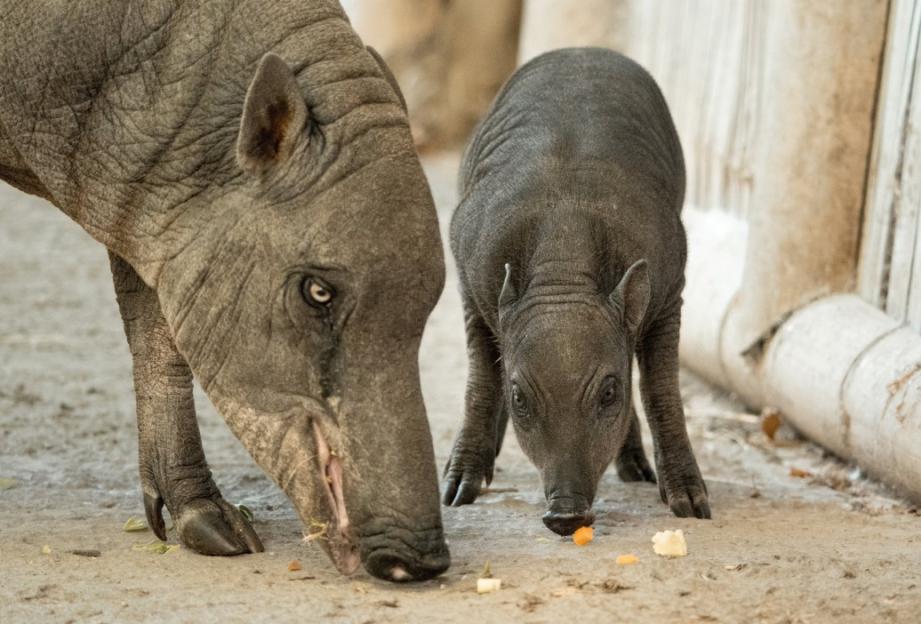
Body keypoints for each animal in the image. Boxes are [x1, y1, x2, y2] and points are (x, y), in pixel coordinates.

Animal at [0, 0, 449, 581]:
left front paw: (205, 519)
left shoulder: (157, 220)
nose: (417, 560)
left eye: (428, 305)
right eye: (317, 292)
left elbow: (158, 335)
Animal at [443, 47, 710, 535]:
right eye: (520, 398)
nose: (565, 516)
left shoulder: (670, 290)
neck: (563, 260)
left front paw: (691, 503)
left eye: (609, 393)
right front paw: (457, 491)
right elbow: (482, 380)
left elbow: (661, 389)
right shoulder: (471, 283)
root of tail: (582, 49)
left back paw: (636, 471)